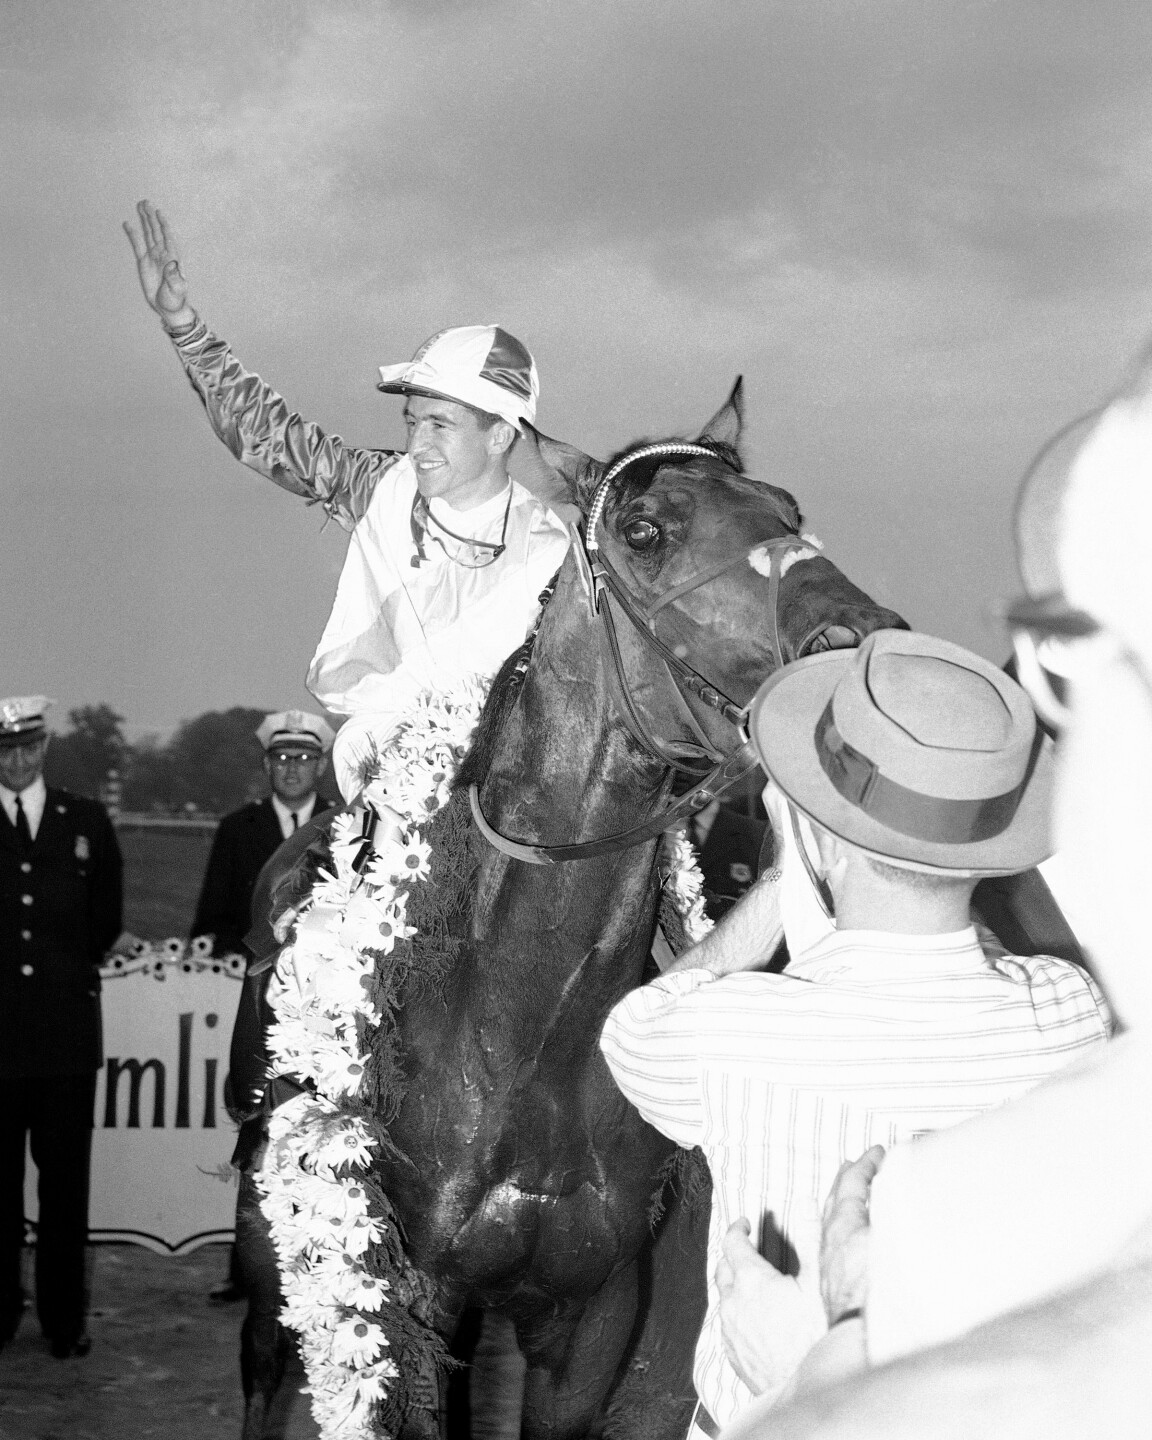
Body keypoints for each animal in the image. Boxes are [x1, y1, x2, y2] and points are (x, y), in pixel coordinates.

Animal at [244, 383, 910, 1440]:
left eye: (788, 509)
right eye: (643, 531)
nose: (862, 651)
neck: (524, 1036)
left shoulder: (594, 1314)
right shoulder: (415, 1298)